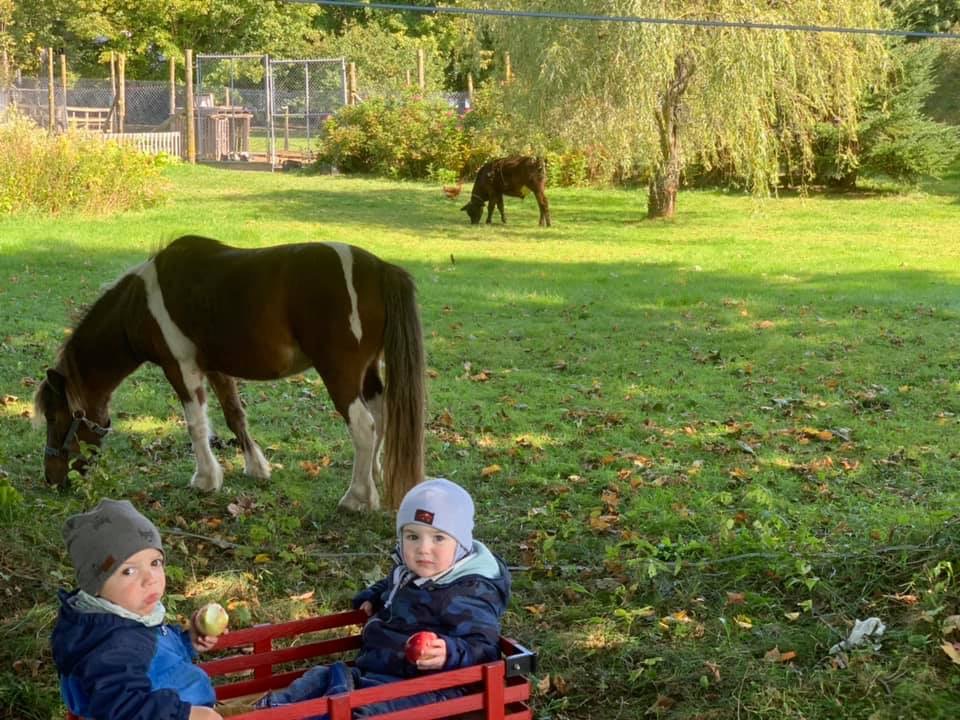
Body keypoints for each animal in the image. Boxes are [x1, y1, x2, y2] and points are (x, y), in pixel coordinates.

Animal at [33, 236, 424, 512]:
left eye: (55, 416)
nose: (51, 478)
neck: (140, 304)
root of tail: (381, 269)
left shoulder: (181, 368)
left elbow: (196, 425)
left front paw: (206, 478)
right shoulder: (217, 368)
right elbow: (235, 416)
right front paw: (256, 468)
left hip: (339, 374)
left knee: (363, 427)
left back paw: (357, 497)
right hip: (368, 372)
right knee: (381, 417)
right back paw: (373, 475)